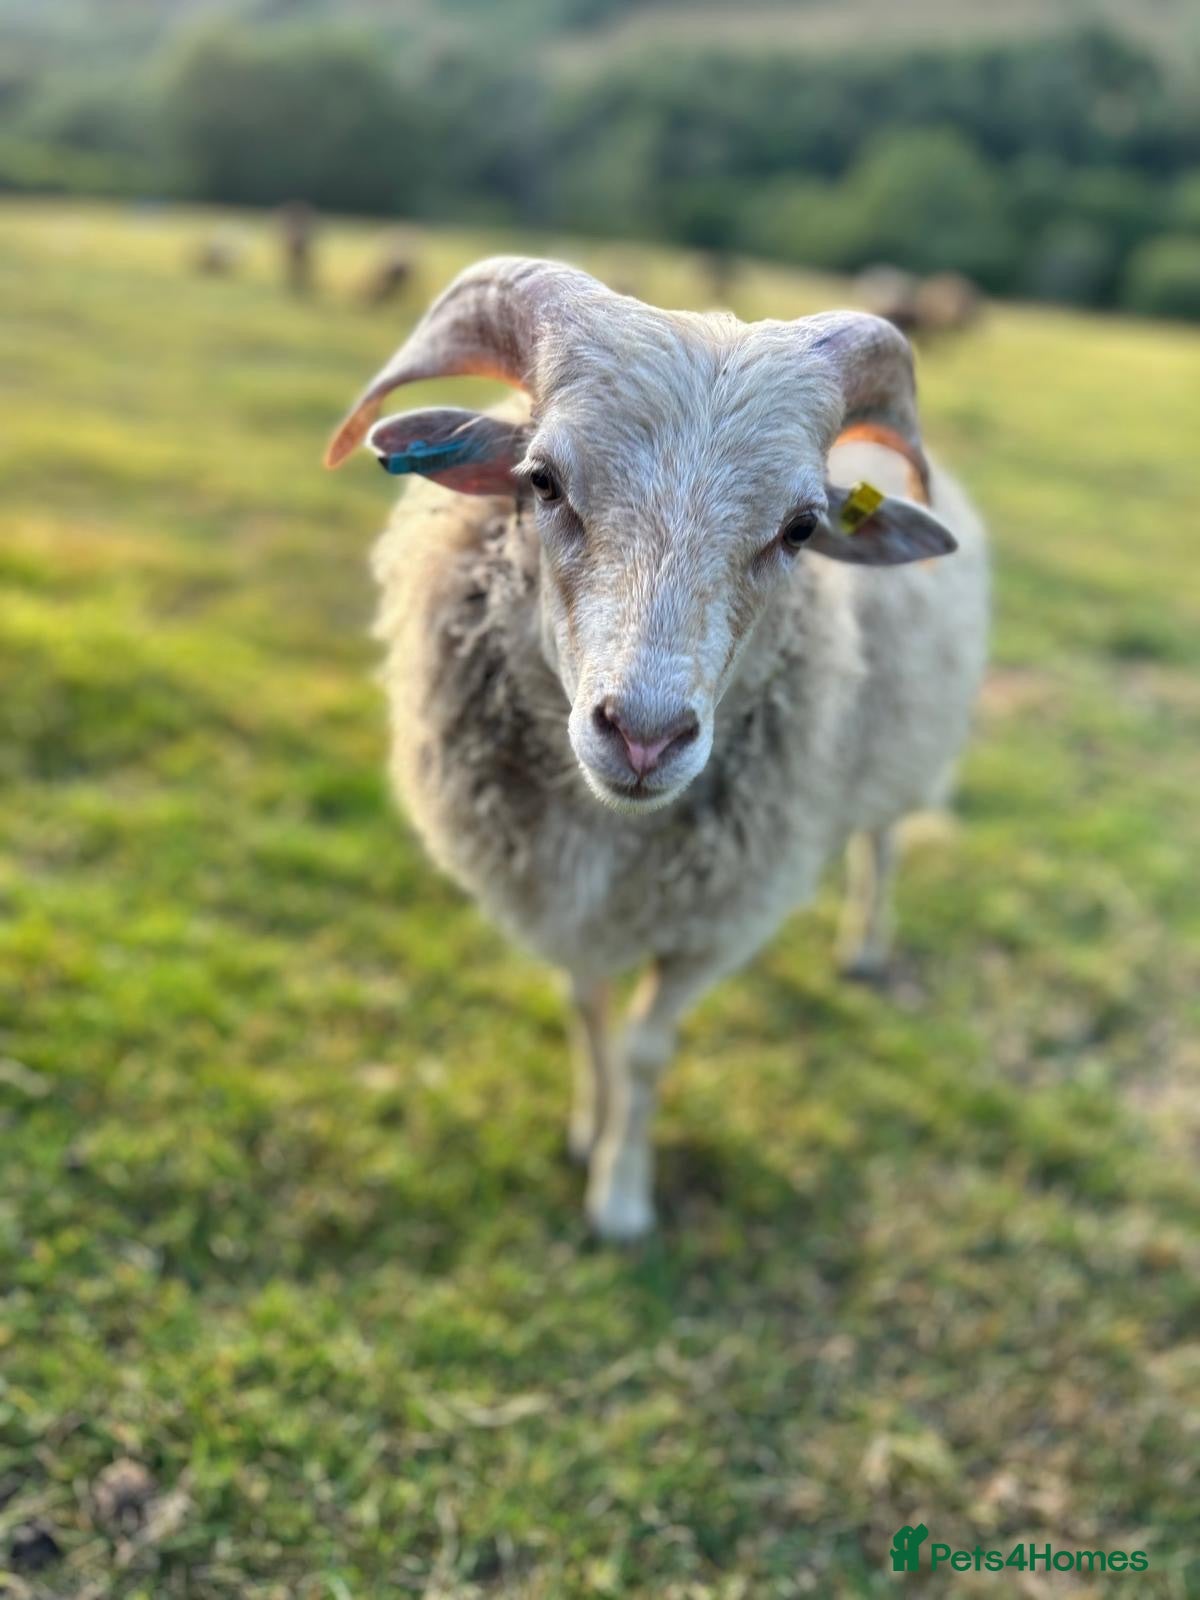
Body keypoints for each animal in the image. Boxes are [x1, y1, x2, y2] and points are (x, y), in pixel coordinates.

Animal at [325, 256, 989, 1240]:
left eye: (801, 528)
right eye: (541, 479)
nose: (644, 734)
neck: (607, 832)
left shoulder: (709, 926)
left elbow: (644, 1050)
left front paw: (621, 1193)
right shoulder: (563, 906)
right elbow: (586, 1013)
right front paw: (585, 1127)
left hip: (900, 757)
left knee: (880, 844)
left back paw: (866, 945)